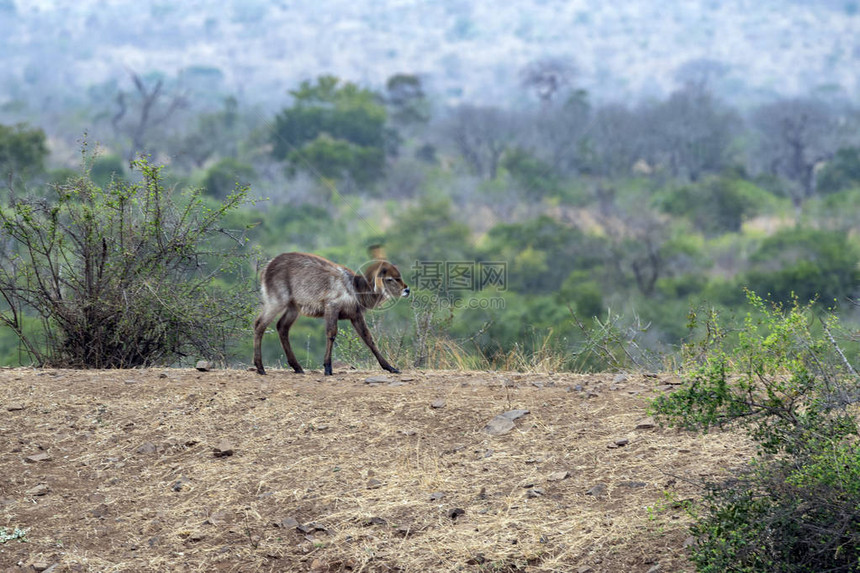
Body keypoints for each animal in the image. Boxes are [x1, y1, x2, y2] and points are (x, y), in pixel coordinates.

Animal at [252, 250, 410, 376]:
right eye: (390, 278)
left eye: (399, 275)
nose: (407, 290)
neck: (356, 288)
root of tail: (266, 268)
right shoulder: (332, 307)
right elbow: (331, 334)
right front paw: (328, 368)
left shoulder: (355, 315)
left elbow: (368, 338)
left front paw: (391, 367)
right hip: (277, 301)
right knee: (260, 324)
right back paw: (260, 368)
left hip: (293, 308)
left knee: (282, 327)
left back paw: (297, 368)